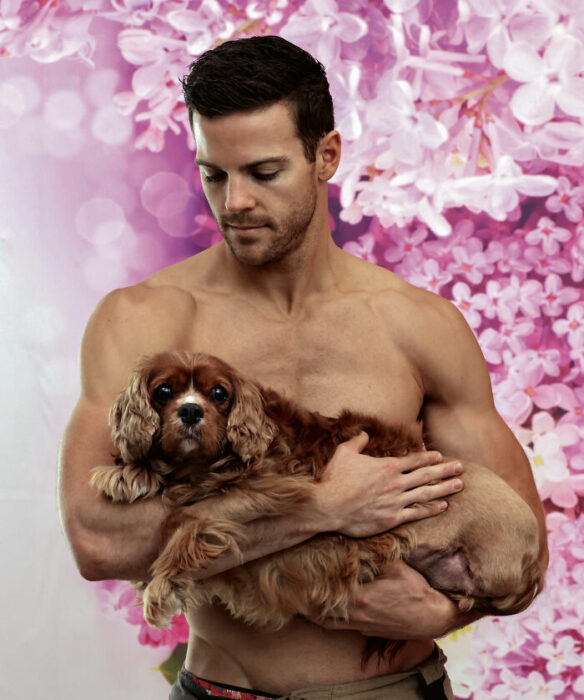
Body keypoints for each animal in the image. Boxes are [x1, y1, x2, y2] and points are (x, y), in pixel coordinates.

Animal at [91, 352, 544, 632]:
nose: (189, 411)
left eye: (218, 393)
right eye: (163, 392)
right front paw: (127, 473)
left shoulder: (278, 489)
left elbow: (190, 514)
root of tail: (536, 563)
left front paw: (162, 584)